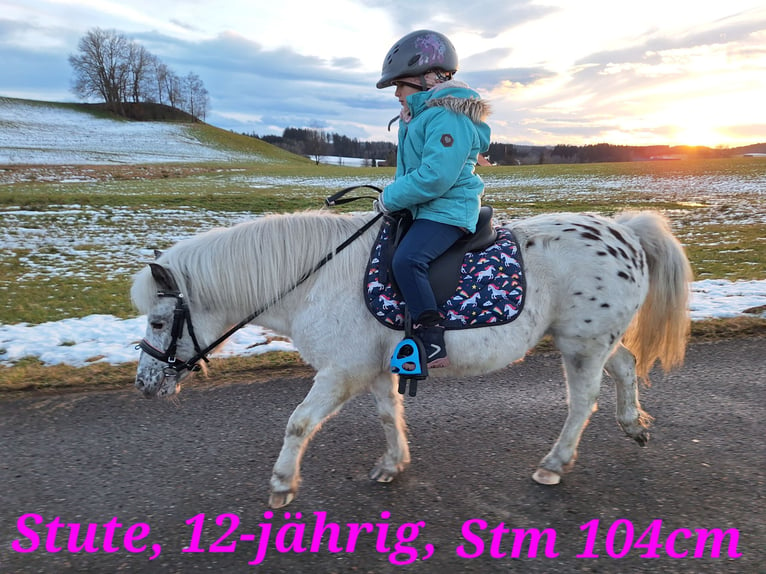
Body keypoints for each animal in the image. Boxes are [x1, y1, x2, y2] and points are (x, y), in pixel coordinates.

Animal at [129, 210, 692, 508]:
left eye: (157, 322)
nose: (144, 384)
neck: (314, 280)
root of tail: (626, 232)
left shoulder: (340, 372)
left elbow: (298, 423)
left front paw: (282, 485)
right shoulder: (376, 368)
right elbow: (386, 414)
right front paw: (391, 464)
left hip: (581, 345)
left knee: (582, 401)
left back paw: (554, 464)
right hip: (590, 341)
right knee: (625, 366)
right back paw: (633, 425)